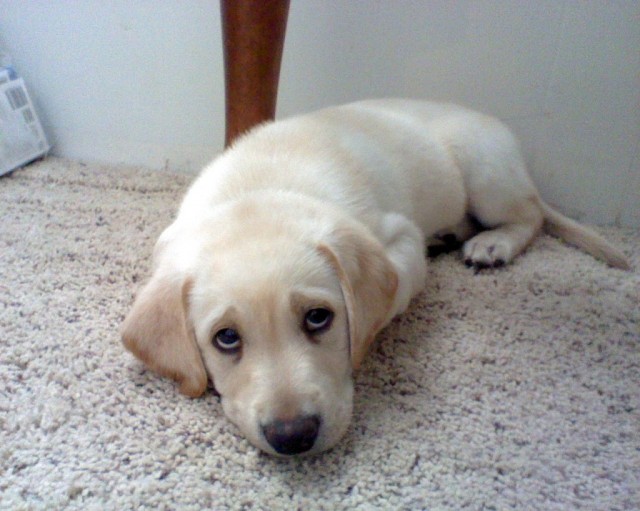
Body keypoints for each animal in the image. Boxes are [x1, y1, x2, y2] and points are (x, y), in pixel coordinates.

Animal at [121, 99, 632, 456]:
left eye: (318, 318)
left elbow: (396, 290)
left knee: (531, 216)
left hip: (486, 174)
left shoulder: (401, 237)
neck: (258, 192)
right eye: (226, 338)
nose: (293, 437)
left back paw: (493, 244)